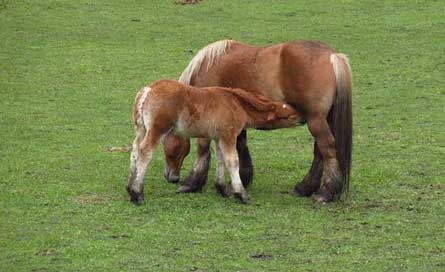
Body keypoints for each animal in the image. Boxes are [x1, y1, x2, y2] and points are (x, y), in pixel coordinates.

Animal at [161, 39, 352, 202]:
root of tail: (332, 55)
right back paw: (305, 188)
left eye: (168, 148)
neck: (207, 67)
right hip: (323, 119)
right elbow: (241, 145)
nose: (171, 177)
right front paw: (243, 179)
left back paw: (326, 192)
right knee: (320, 152)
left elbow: (203, 148)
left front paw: (191, 183)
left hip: (315, 120)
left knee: (326, 149)